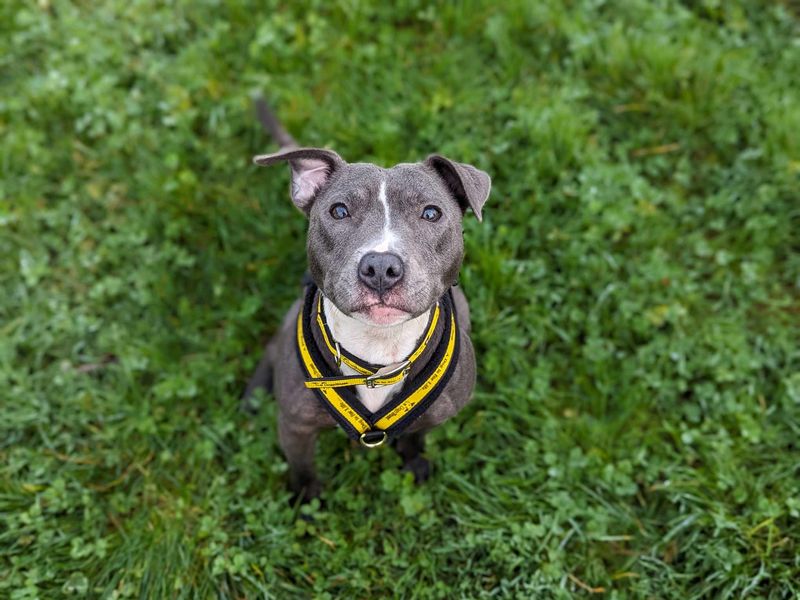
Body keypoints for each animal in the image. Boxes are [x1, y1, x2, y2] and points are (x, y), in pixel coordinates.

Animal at [242, 98, 494, 502]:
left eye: (431, 213)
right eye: (339, 210)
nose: (380, 267)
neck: (379, 350)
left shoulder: (437, 415)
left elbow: (416, 437)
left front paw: (414, 461)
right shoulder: (295, 426)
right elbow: (303, 469)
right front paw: (306, 500)